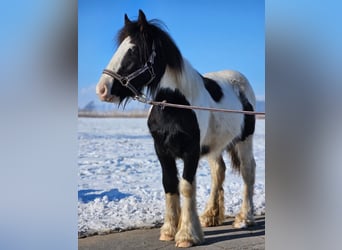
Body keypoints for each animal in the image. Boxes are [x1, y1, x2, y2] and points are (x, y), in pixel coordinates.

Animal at [95, 10, 255, 248]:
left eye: (133, 50)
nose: (102, 89)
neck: (174, 104)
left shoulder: (191, 151)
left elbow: (186, 186)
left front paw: (187, 235)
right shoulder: (162, 150)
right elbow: (169, 185)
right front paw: (169, 230)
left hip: (245, 140)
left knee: (247, 172)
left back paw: (244, 219)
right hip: (214, 147)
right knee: (219, 172)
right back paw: (210, 216)